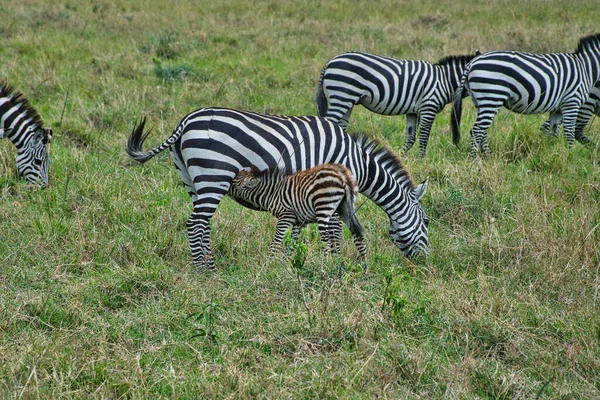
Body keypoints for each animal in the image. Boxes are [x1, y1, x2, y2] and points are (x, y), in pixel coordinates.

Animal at [230, 164, 368, 260]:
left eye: (233, 182)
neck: (271, 193)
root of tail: (343, 176)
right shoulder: (297, 221)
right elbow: (293, 242)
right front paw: (289, 262)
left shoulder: (286, 216)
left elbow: (276, 241)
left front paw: (268, 263)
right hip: (345, 209)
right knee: (358, 235)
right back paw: (364, 267)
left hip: (324, 207)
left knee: (326, 241)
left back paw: (325, 266)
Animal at [314, 50, 478, 156]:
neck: (445, 80)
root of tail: (329, 62)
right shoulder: (428, 107)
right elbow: (424, 137)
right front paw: (422, 159)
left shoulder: (413, 111)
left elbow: (410, 137)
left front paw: (401, 156)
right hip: (342, 95)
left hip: (346, 100)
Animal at [450, 33, 600, 158]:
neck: (586, 67)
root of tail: (472, 63)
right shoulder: (572, 102)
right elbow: (569, 132)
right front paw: (569, 156)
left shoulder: (557, 109)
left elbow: (551, 131)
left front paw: (550, 153)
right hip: (492, 96)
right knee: (477, 130)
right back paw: (475, 160)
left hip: (481, 100)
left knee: (482, 130)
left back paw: (487, 156)